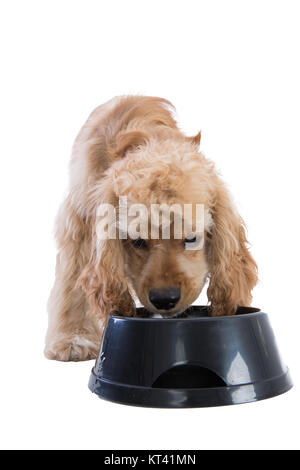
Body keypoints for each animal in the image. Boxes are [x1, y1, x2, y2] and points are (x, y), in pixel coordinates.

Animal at [45, 94, 258, 360]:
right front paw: (72, 337)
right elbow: (72, 279)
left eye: (191, 239)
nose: (164, 299)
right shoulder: (79, 218)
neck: (150, 142)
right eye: (137, 241)